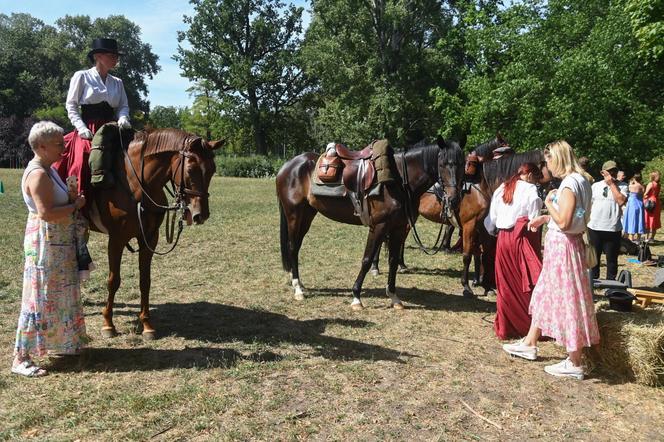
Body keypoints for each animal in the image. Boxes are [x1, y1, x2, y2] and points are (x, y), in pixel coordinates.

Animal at [84, 126, 220, 340]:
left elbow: (145, 281)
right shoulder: (116, 240)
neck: (136, 184)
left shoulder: (149, 239)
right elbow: (113, 280)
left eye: (212, 170)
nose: (201, 215)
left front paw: (147, 325)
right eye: (190, 170)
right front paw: (108, 324)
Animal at [274, 136, 462, 310]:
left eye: (461, 163)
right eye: (443, 164)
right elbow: (366, 259)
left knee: (296, 247)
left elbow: (393, 260)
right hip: (294, 214)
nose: (454, 199)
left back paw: (300, 284)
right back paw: (298, 289)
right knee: (292, 247)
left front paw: (393, 297)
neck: (398, 180)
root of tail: (288, 166)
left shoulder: (399, 228)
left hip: (307, 214)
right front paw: (356, 297)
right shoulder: (379, 226)